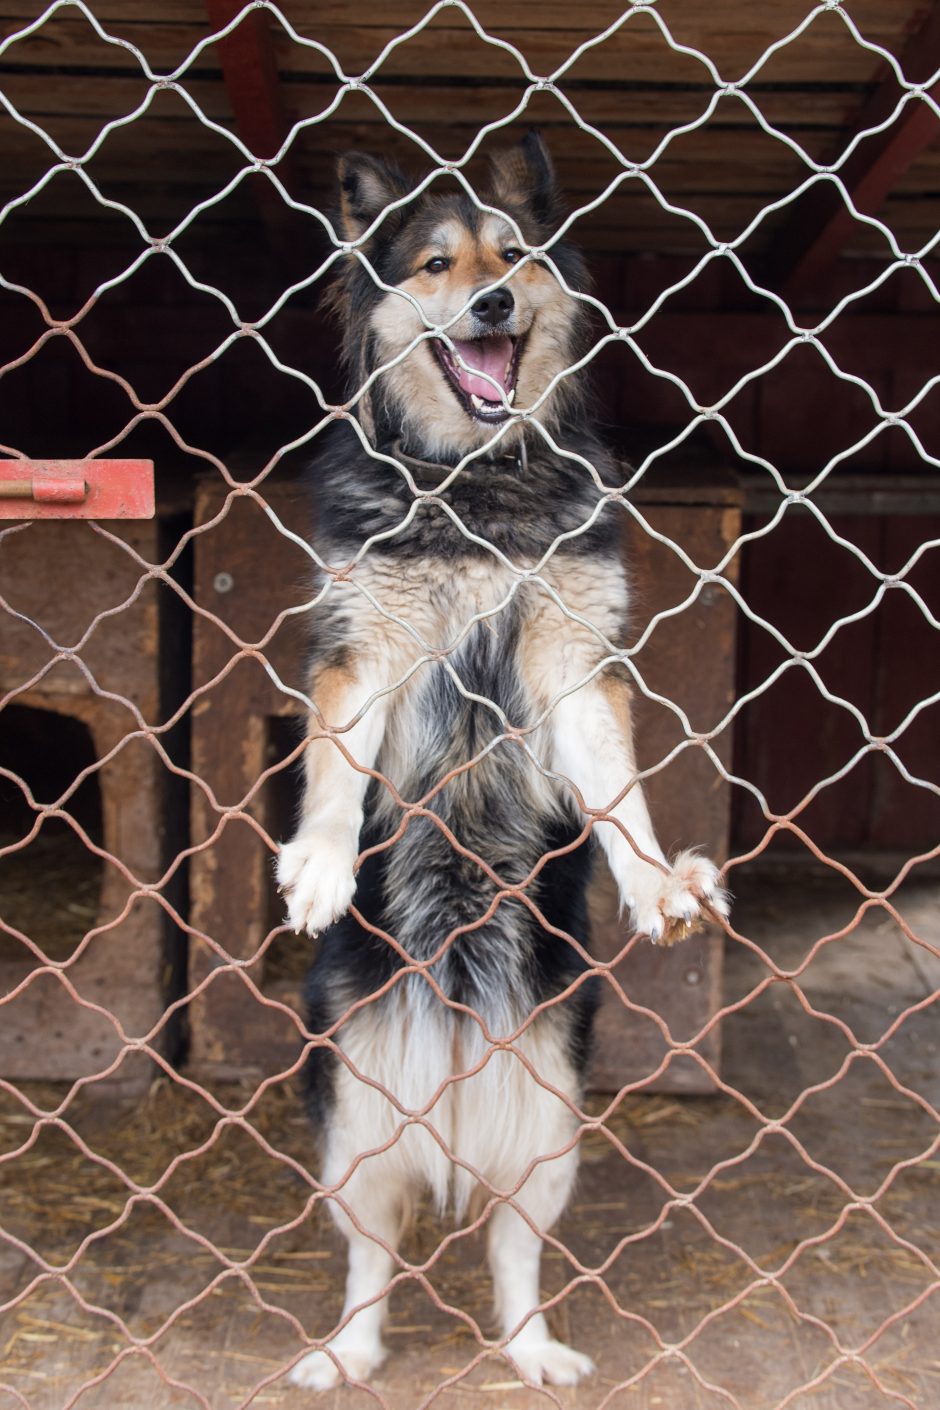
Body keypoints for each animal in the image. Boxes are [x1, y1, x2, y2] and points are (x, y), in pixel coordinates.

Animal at [276, 137, 732, 1393]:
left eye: (514, 256)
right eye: (438, 264)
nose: (490, 303)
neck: (477, 485)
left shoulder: (571, 664)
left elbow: (618, 791)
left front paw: (655, 887)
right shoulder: (372, 645)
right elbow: (336, 768)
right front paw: (322, 865)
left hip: (548, 1123)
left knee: (512, 1255)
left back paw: (534, 1352)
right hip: (354, 1120)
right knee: (371, 1257)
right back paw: (345, 1354)